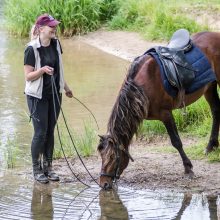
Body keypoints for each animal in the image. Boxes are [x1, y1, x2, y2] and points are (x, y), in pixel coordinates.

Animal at [98, 31, 220, 189]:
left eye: (112, 156)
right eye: (101, 156)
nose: (104, 184)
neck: (141, 88)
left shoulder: (166, 114)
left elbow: (176, 142)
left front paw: (188, 168)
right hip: (210, 86)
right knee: (216, 110)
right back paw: (211, 146)